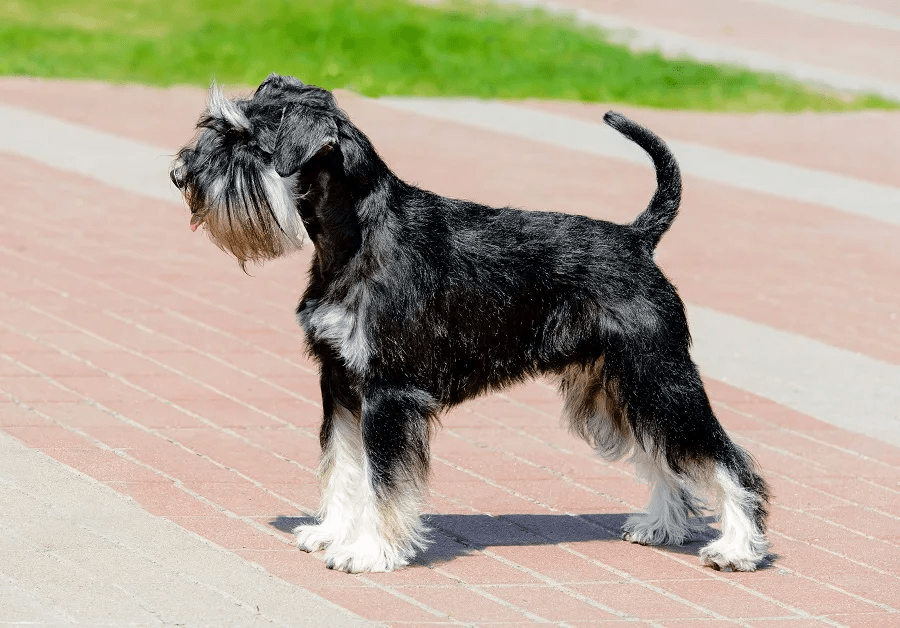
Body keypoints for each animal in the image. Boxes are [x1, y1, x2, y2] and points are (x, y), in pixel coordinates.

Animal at [172, 73, 768, 576]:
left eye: (247, 141)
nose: (180, 175)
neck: (354, 240)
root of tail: (638, 237)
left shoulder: (389, 392)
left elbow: (380, 479)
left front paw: (368, 551)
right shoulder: (338, 382)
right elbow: (340, 464)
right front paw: (332, 532)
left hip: (657, 375)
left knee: (724, 457)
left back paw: (737, 547)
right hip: (616, 386)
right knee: (664, 452)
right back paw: (663, 525)